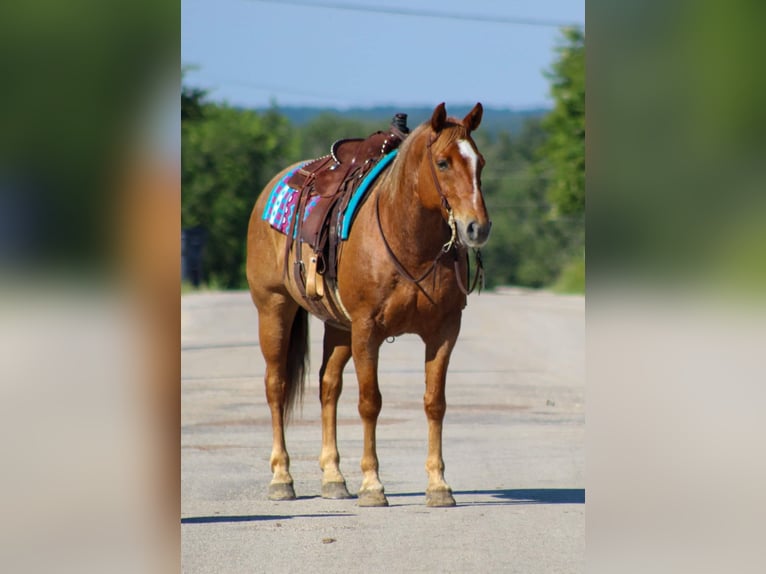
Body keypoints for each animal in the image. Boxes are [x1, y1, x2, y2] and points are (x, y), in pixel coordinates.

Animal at [249, 103, 496, 508]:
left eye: (481, 163)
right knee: (276, 385)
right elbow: (370, 402)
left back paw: (333, 477)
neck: (408, 240)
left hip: (338, 326)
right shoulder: (367, 329)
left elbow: (435, 402)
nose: (478, 227)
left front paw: (438, 484)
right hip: (274, 307)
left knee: (328, 386)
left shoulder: (444, 331)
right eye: (443, 163)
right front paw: (372, 485)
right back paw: (281, 478)